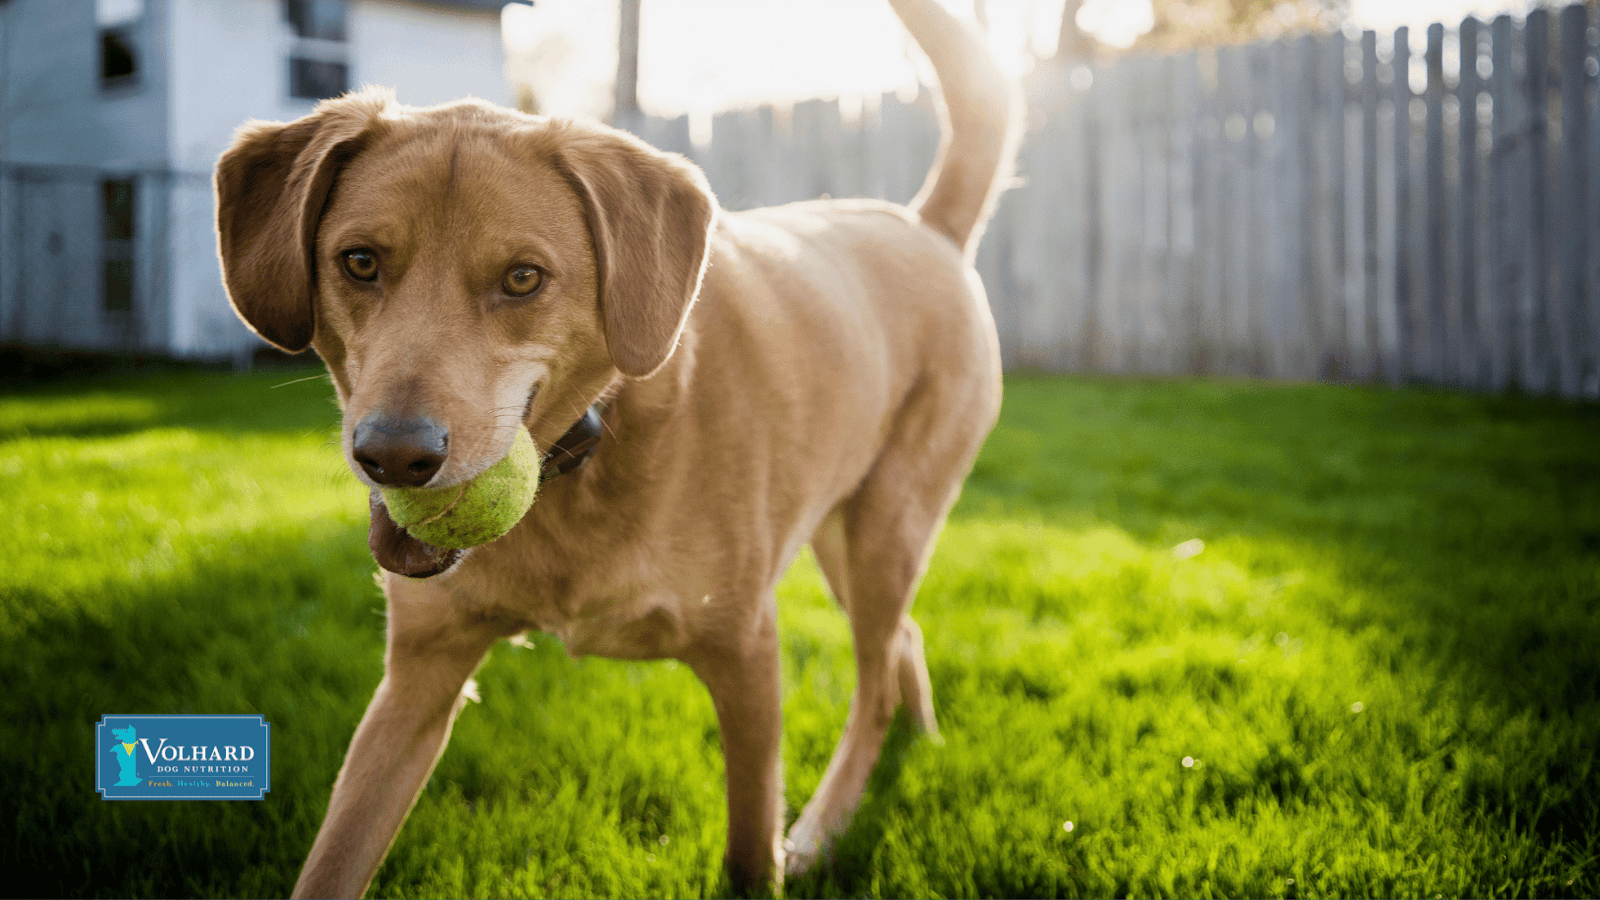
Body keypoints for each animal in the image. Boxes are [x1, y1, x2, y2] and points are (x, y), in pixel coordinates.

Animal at [212, 0, 1017, 890]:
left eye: (523, 278)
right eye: (358, 262)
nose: (393, 457)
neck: (583, 456)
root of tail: (927, 226)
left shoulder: (746, 655)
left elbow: (748, 848)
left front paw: (773, 854)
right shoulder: (416, 681)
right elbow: (334, 859)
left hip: (885, 532)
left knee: (873, 681)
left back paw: (824, 825)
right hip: (848, 541)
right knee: (903, 640)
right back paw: (918, 741)